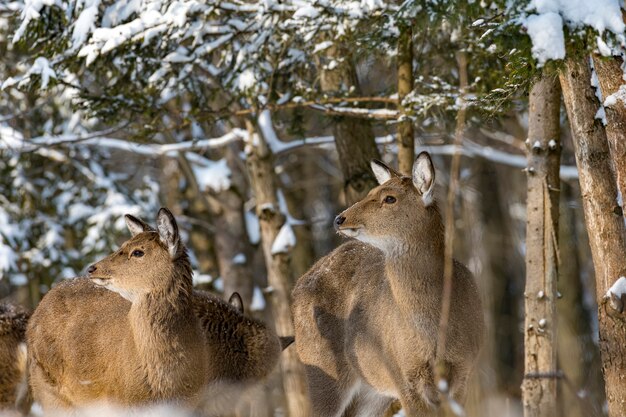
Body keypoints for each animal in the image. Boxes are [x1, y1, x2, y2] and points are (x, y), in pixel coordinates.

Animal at [292, 153, 482, 416]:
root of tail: (297, 286)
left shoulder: (465, 371)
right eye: (371, 191)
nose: (339, 219)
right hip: (321, 366)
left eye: (389, 198)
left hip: (371, 391)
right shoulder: (402, 374)